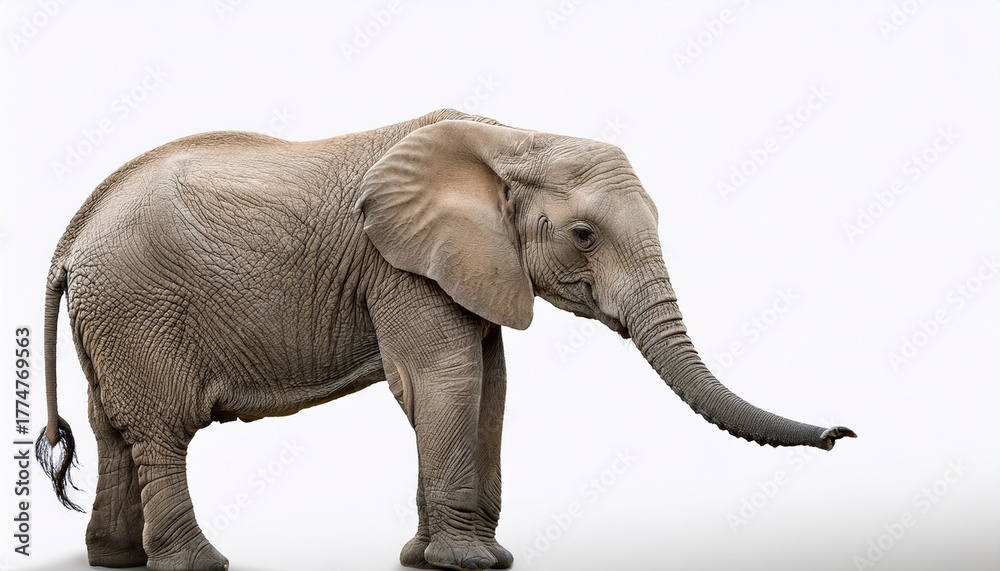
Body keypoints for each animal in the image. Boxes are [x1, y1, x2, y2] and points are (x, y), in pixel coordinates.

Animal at [36, 108, 855, 571]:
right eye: (584, 235)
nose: (844, 433)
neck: (514, 139)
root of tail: (72, 233)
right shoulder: (402, 269)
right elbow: (446, 380)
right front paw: (468, 563)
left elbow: (490, 385)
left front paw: (433, 559)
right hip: (139, 307)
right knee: (162, 429)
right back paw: (200, 565)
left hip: (112, 316)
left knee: (113, 428)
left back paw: (115, 561)